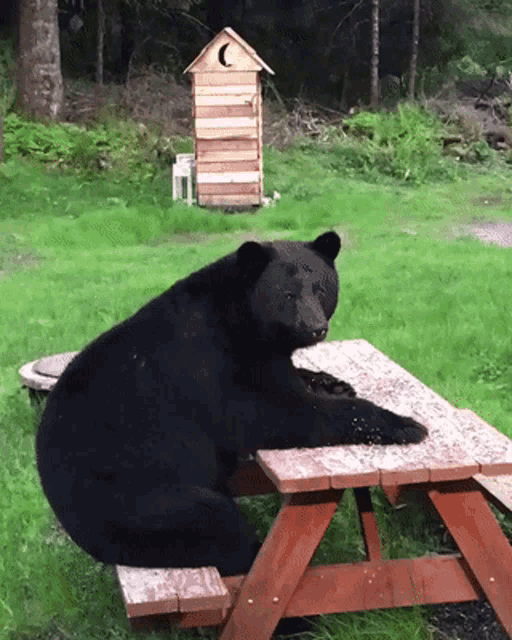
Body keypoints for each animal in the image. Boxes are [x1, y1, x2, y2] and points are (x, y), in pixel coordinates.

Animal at [36, 231, 427, 577]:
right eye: (287, 294)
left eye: (320, 288)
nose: (316, 328)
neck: (240, 317)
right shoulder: (213, 363)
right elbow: (277, 414)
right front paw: (407, 424)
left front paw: (335, 382)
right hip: (139, 501)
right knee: (219, 526)